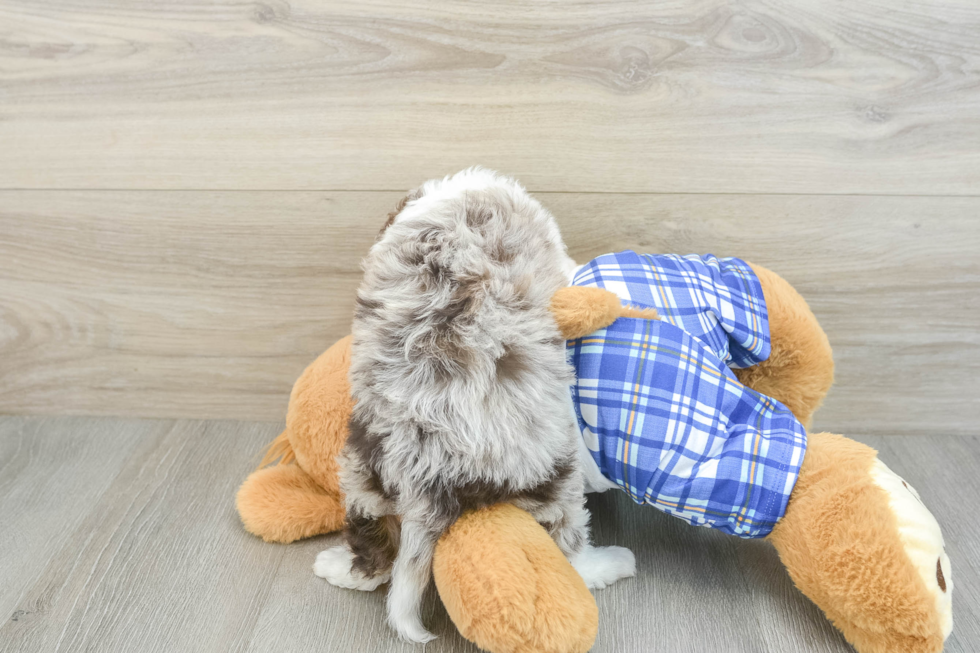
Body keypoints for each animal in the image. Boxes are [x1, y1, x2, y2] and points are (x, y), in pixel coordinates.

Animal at [314, 168, 636, 640]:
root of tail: (428, 470)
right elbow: (566, 267)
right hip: (554, 473)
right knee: (570, 544)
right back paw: (611, 562)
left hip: (363, 462)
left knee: (372, 544)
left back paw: (338, 567)